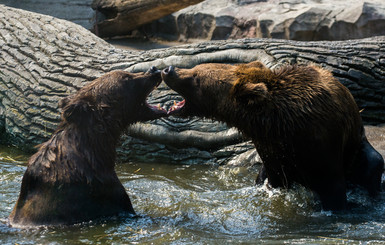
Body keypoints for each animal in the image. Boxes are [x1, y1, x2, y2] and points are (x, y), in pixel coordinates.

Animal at [160, 61, 382, 211]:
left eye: (196, 76)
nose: (168, 69)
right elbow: (272, 179)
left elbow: (333, 191)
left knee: (373, 164)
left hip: (358, 150)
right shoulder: (273, 152)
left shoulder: (321, 147)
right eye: (196, 68)